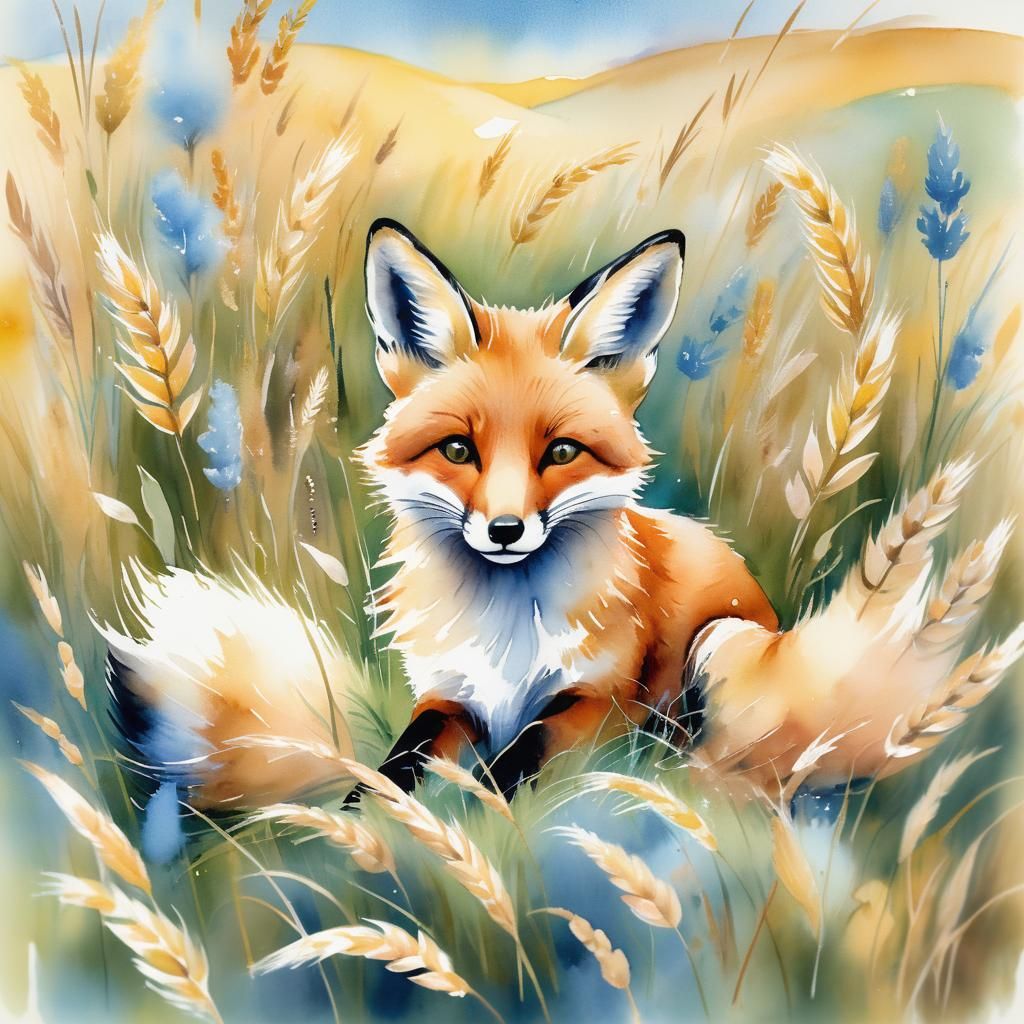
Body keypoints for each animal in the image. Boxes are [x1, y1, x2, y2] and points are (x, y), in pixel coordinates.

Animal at [104, 218, 1023, 819]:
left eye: (561, 453)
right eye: (459, 450)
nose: (506, 532)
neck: (508, 628)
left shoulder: (598, 699)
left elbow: (527, 751)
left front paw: (486, 815)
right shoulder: (452, 694)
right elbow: (404, 753)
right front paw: (366, 812)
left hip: (719, 649)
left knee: (736, 767)